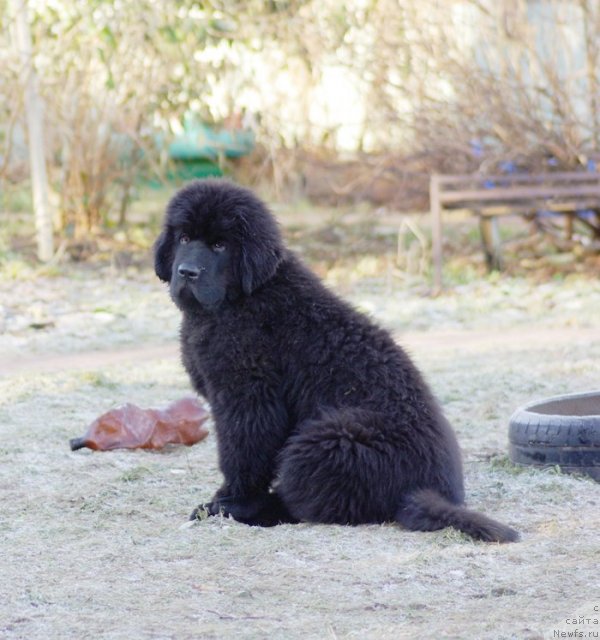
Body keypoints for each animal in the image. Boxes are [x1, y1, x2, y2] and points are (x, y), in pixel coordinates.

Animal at [157, 178, 516, 544]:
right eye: (183, 238)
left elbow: (242, 453)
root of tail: (428, 490)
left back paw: (242, 512)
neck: (243, 298)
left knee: (310, 502)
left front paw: (230, 498)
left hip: (328, 439)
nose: (187, 272)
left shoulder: (247, 396)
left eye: (219, 245)